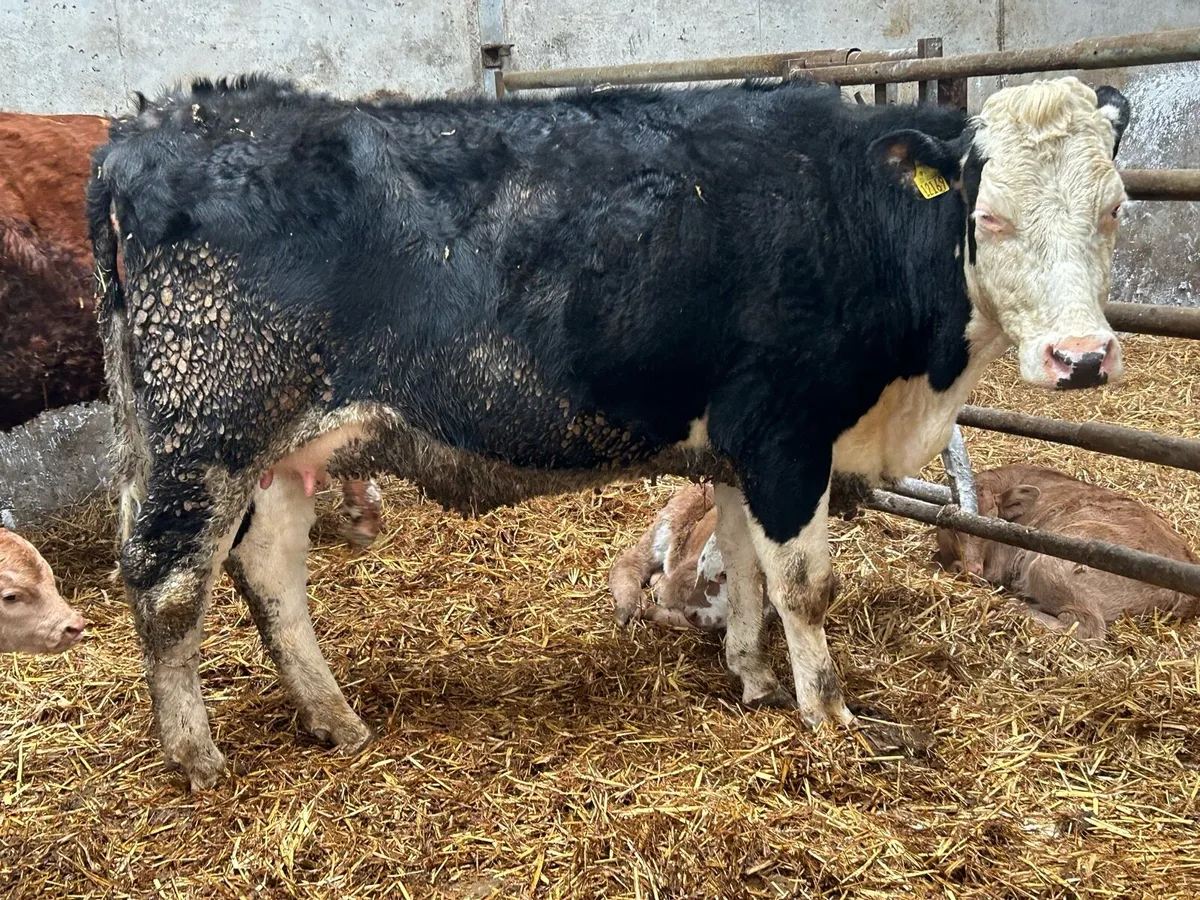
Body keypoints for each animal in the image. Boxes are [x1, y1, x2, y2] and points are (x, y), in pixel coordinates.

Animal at [88, 74, 1130, 789]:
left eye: (1115, 209)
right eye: (990, 214)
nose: (1080, 357)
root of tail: (153, 125)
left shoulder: (738, 446)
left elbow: (743, 565)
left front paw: (752, 677)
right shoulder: (788, 433)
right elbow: (804, 586)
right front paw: (829, 715)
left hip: (279, 456)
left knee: (270, 574)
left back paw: (334, 718)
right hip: (209, 430)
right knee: (169, 587)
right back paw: (196, 754)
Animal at [934, 465, 1200, 639]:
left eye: (991, 519)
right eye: (947, 525)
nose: (970, 569)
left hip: (1050, 565)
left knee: (1086, 627)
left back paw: (1014, 605)